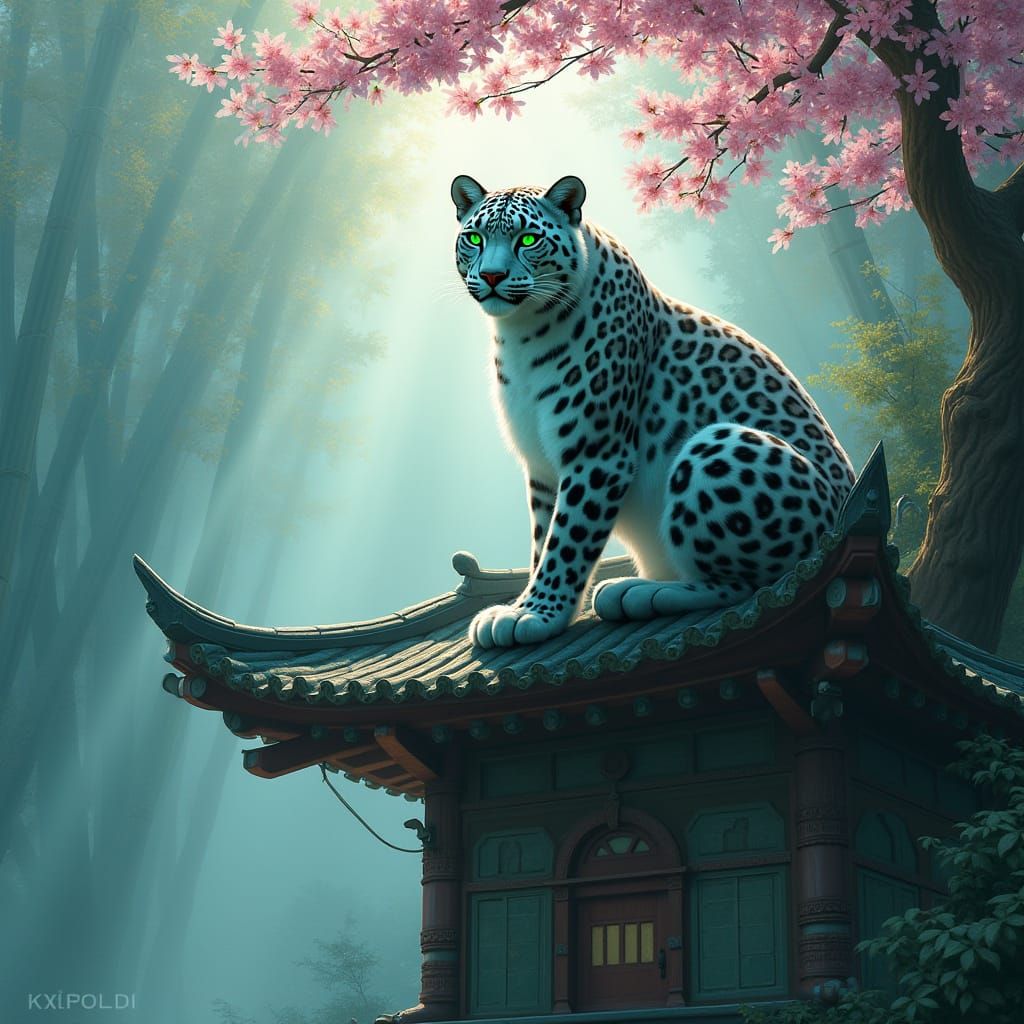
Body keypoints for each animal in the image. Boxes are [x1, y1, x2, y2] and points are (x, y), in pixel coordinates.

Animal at [451, 173, 855, 648]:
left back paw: (640, 592)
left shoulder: (597, 454)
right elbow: (542, 538)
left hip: (717, 446)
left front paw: (536, 614)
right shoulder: (543, 467)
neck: (519, 332)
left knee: (751, 586)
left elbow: (567, 541)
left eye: (528, 239)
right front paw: (527, 605)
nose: (492, 275)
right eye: (474, 238)